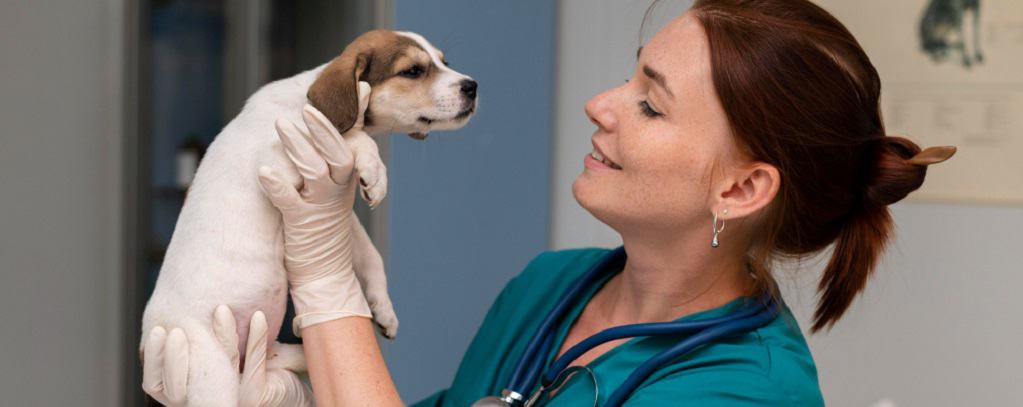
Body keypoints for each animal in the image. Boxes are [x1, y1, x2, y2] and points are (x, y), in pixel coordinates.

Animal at [141, 30, 478, 404]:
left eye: (444, 62)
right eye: (413, 71)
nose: (472, 86)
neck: (307, 103)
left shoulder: (334, 206)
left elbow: (371, 255)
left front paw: (383, 307)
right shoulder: (277, 161)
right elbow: (351, 136)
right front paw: (375, 169)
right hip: (210, 373)